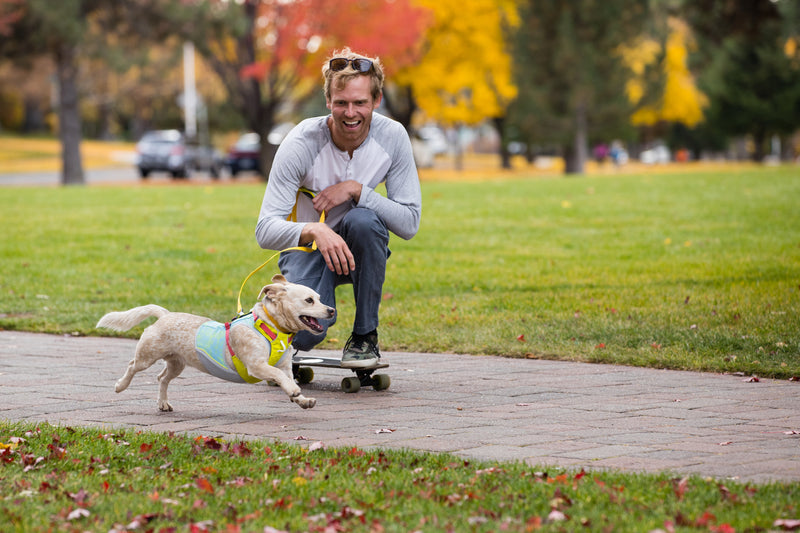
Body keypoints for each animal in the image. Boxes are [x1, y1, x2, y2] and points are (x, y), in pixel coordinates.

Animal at [97, 272, 334, 414]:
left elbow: (287, 378)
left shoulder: (285, 366)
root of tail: (165, 314)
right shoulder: (256, 365)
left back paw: (163, 403)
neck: (272, 328)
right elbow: (277, 375)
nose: (331, 310)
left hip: (177, 363)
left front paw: (302, 399)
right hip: (147, 355)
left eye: (319, 298)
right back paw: (120, 385)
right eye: (309, 300)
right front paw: (294, 391)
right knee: (132, 366)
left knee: (162, 378)